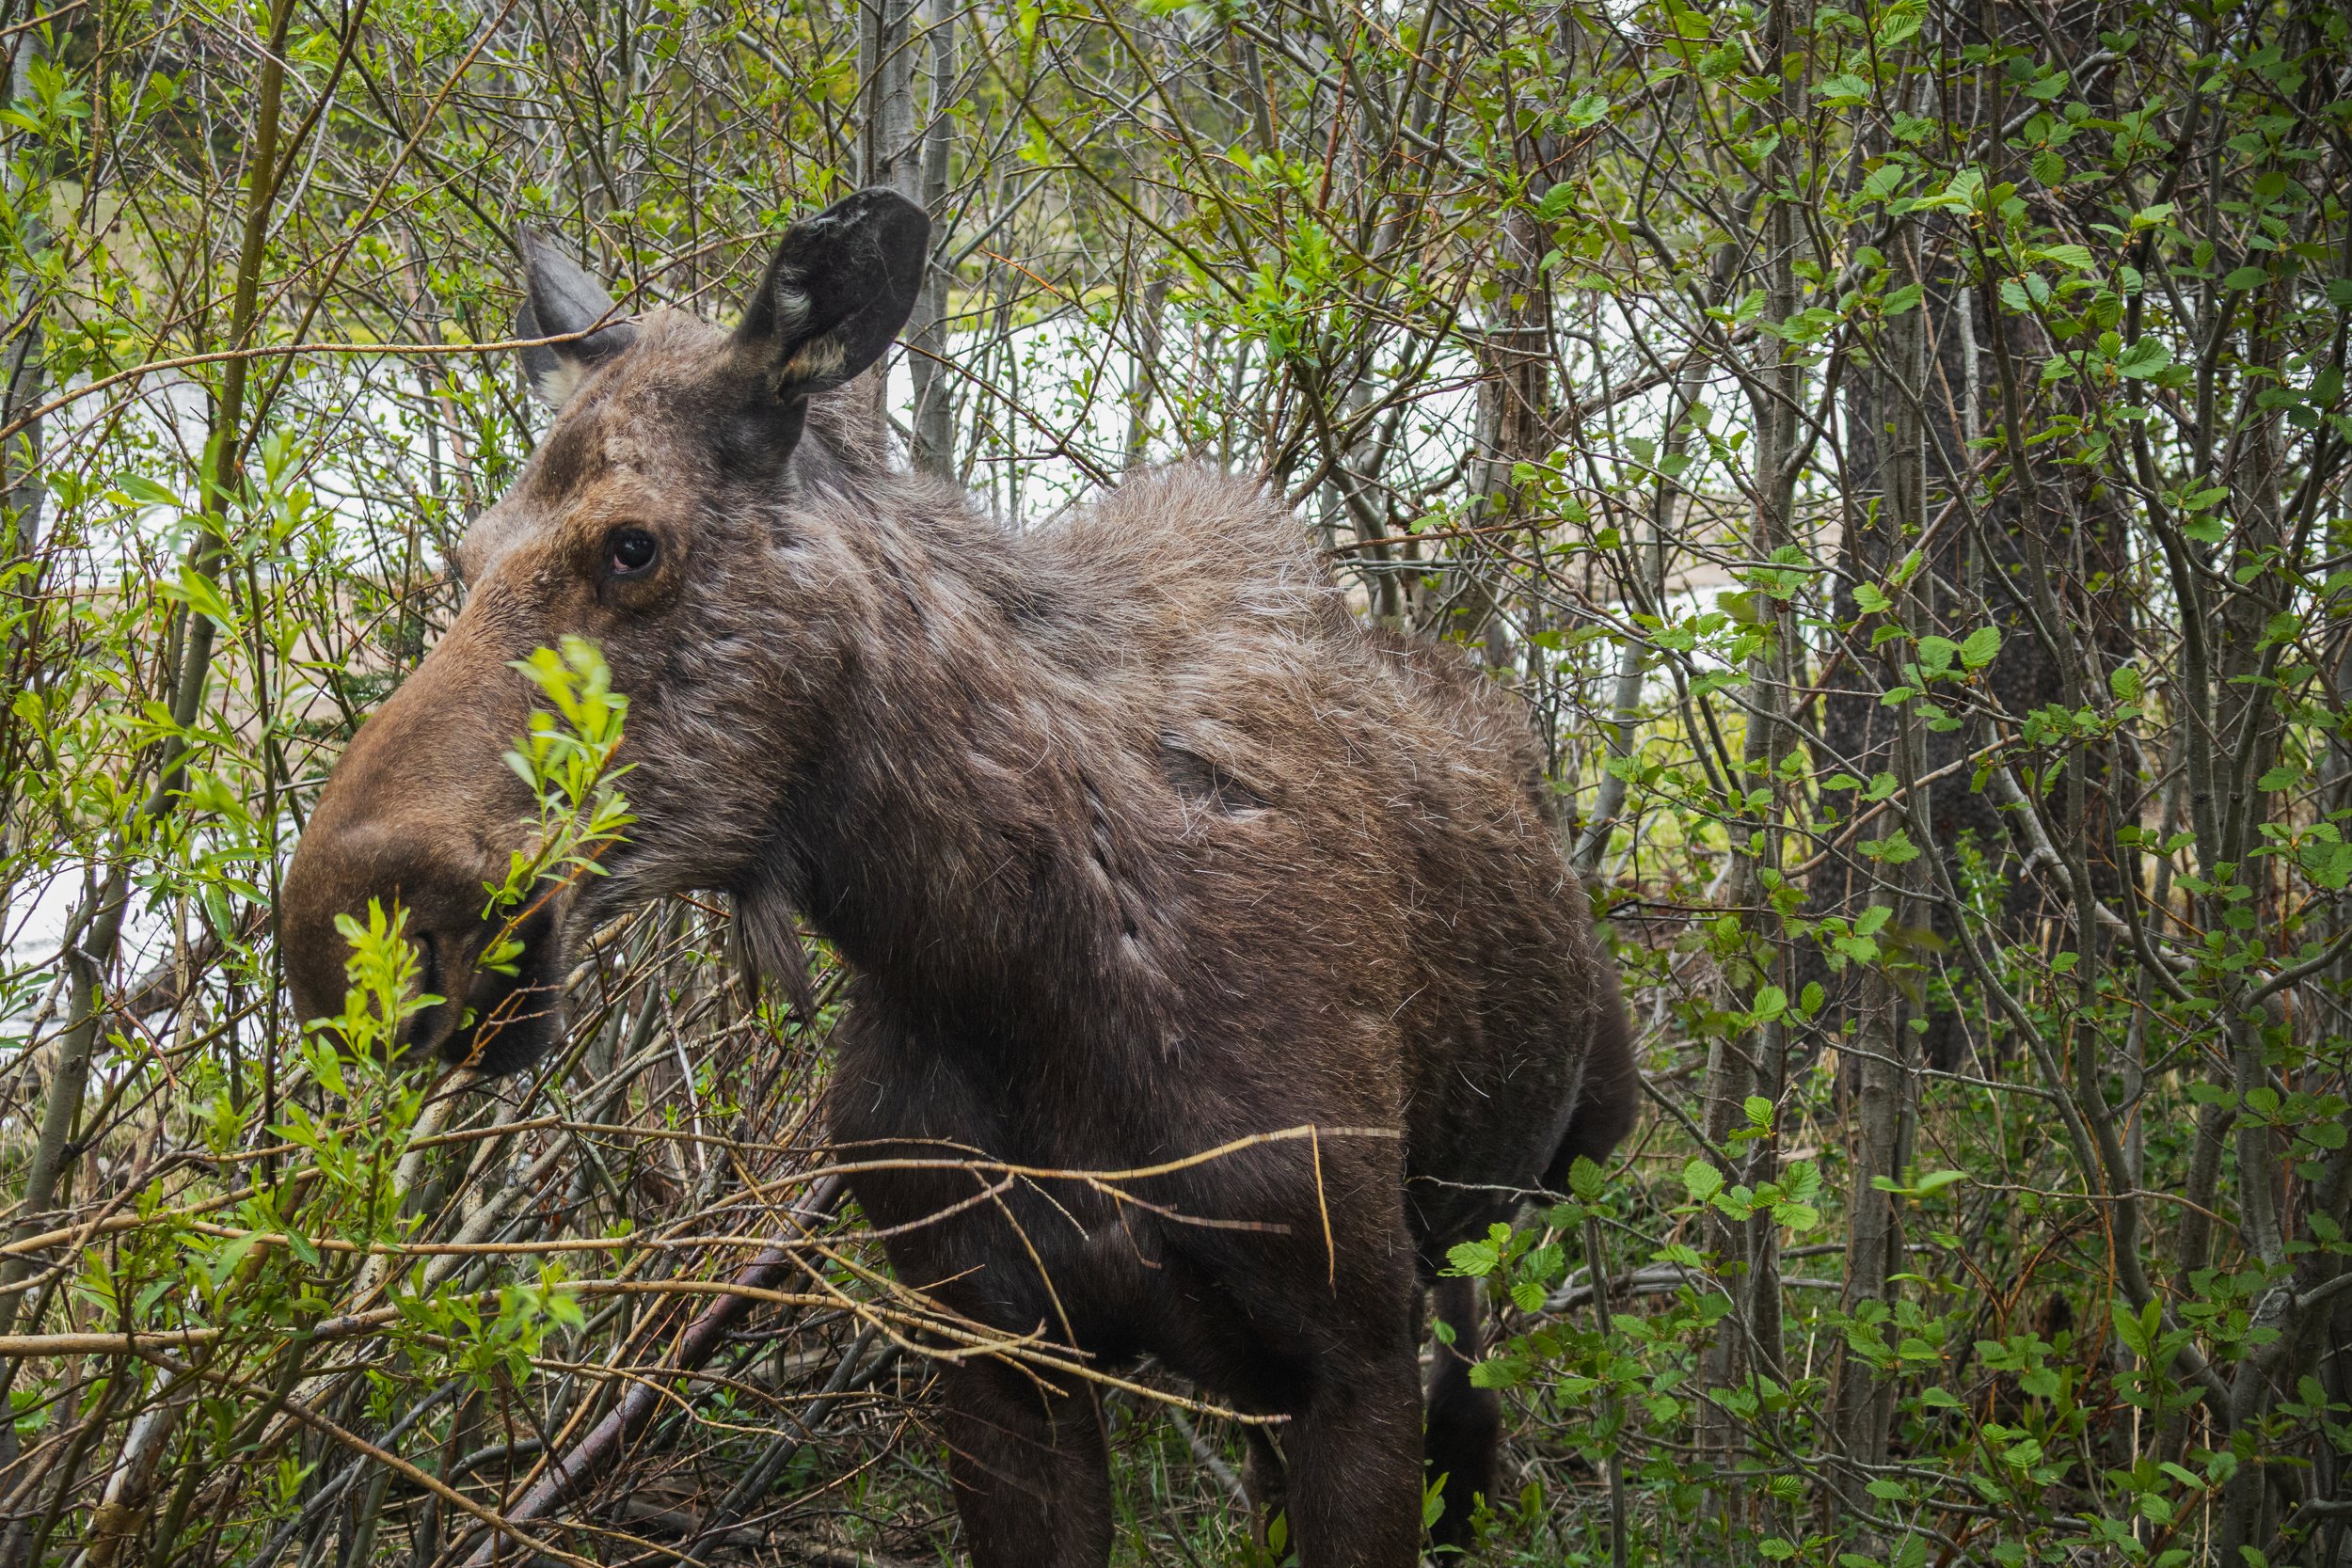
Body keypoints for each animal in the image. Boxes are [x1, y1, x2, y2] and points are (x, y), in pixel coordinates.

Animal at [278, 187, 1639, 1568]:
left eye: (630, 544)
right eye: (462, 557)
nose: (347, 937)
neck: (1004, 961)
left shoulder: (1351, 1352)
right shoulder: (990, 1348)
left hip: (1514, 1204)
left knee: (1474, 1422)